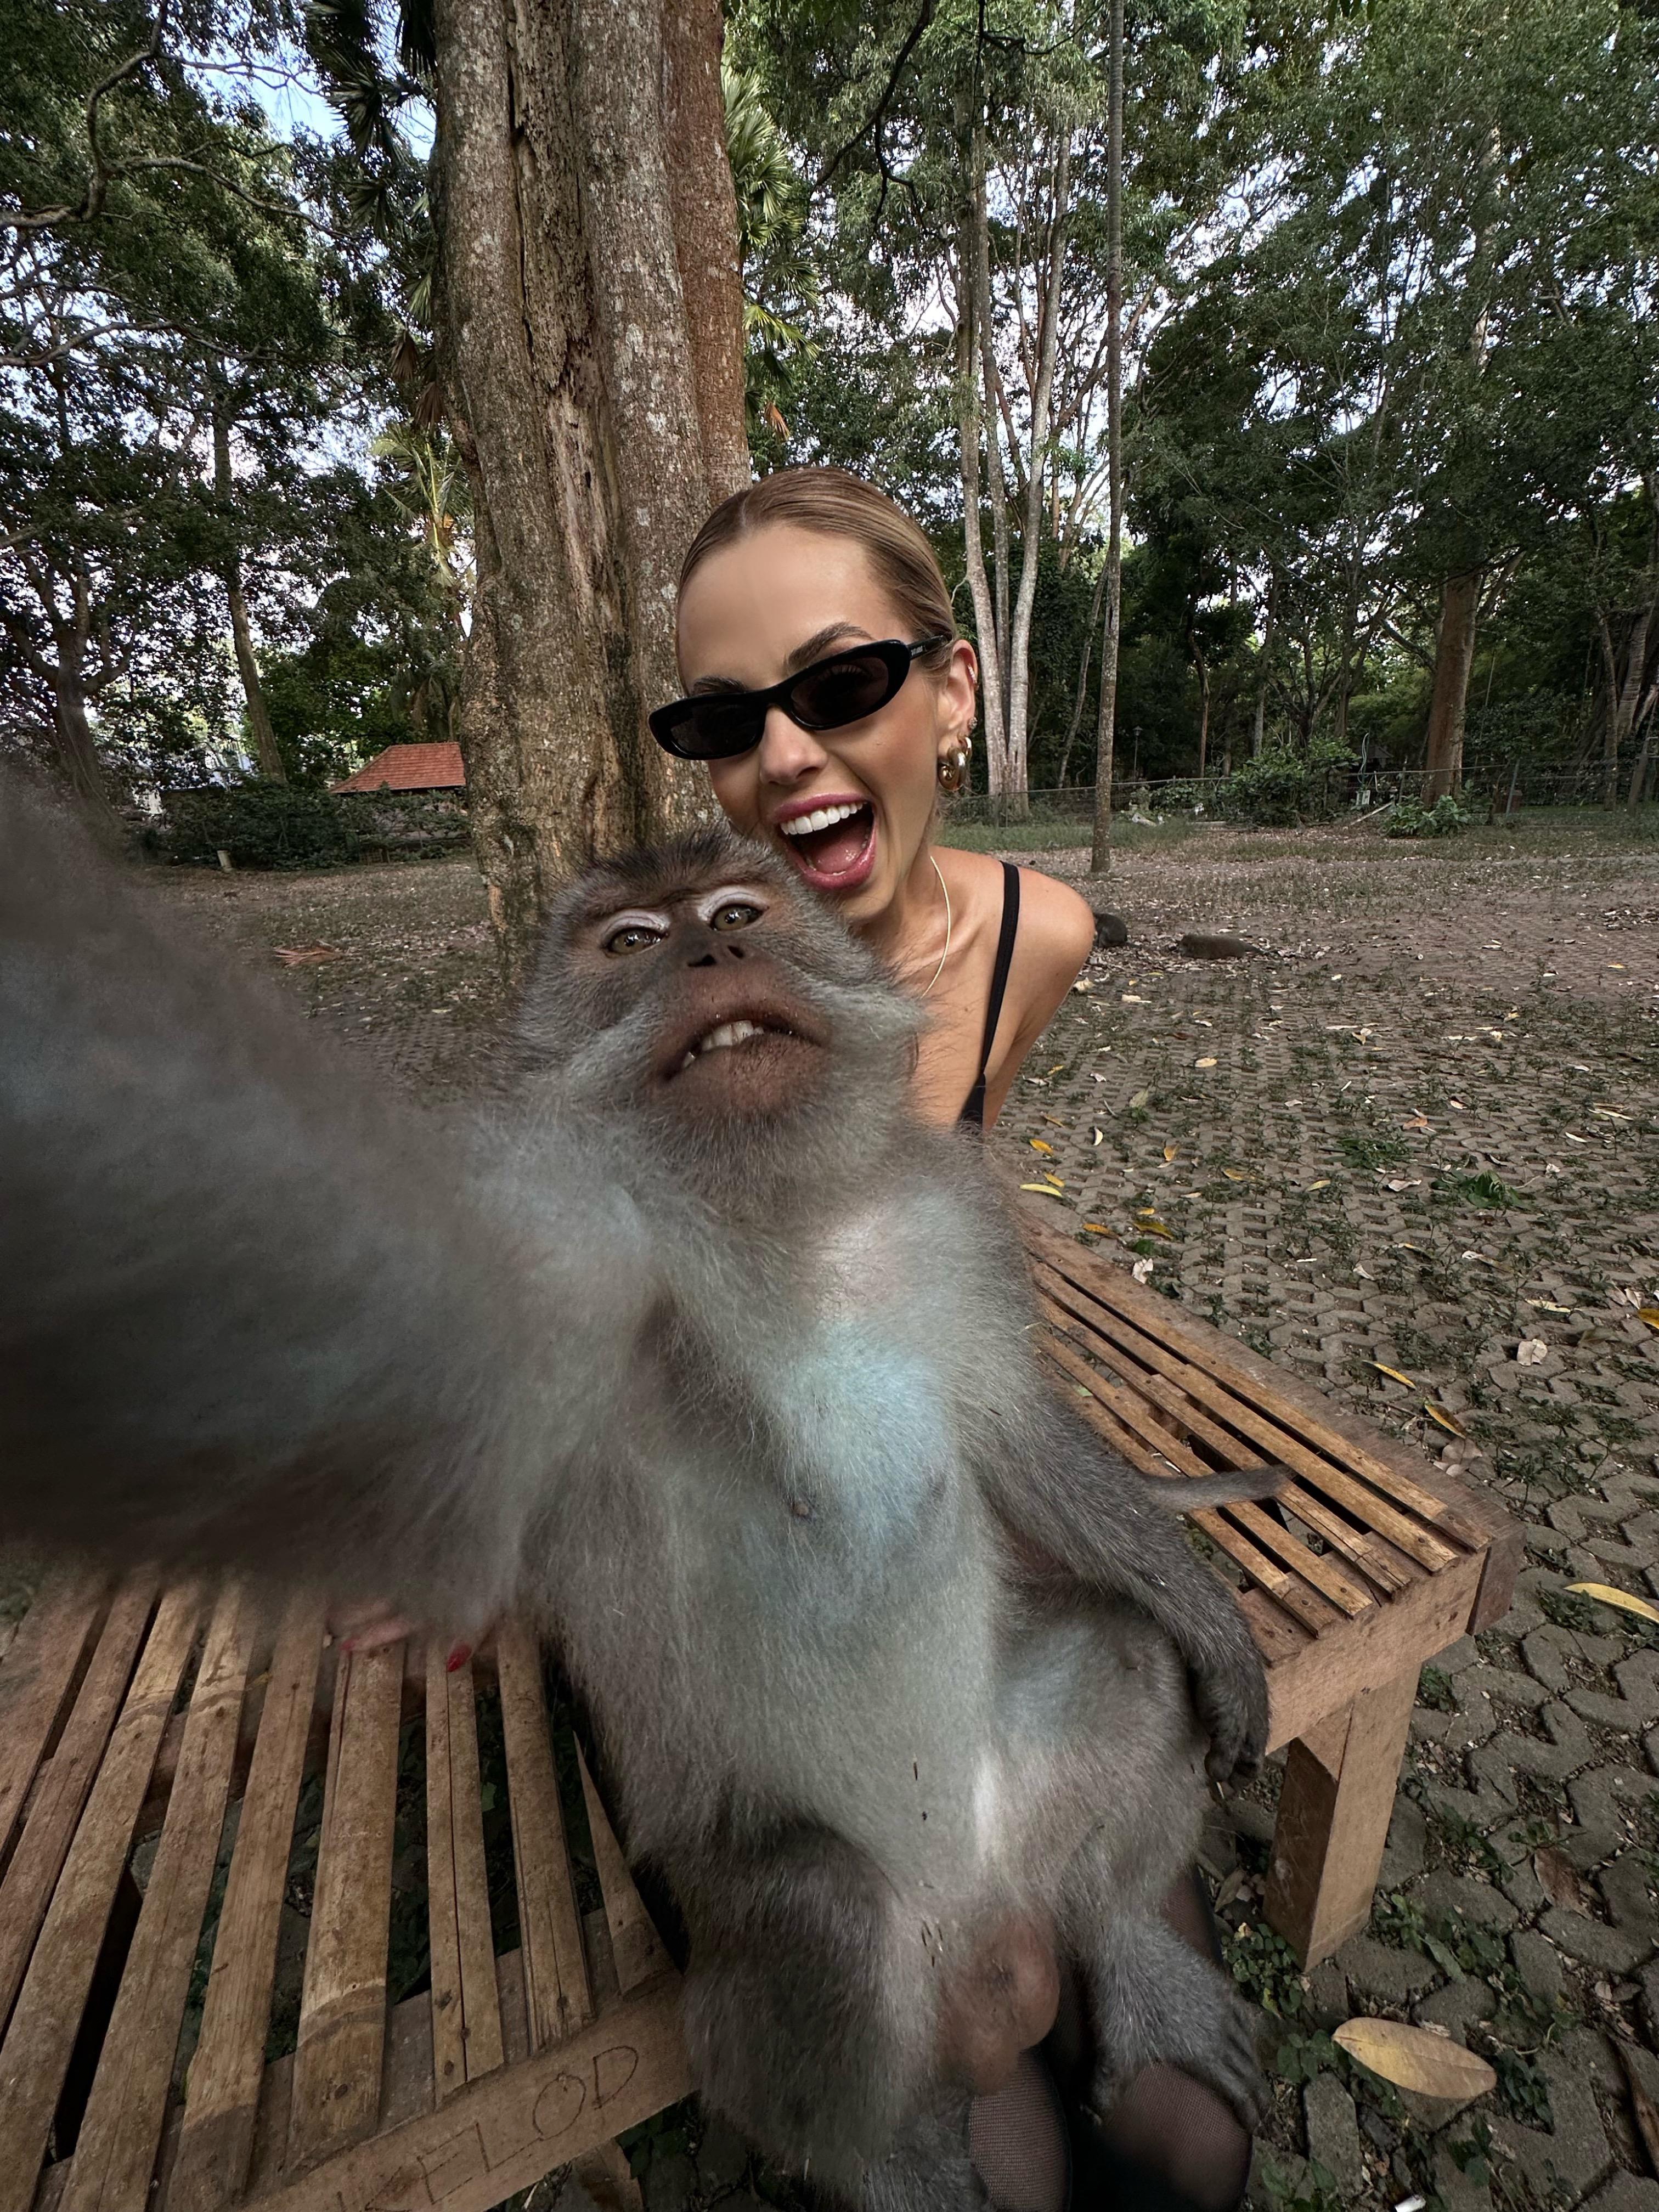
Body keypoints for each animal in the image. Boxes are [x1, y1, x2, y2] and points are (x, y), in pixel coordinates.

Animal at [0, 787, 1274, 2212]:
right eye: (631, 944)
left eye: (737, 913)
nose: (713, 956)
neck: (776, 1214)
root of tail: (981, 1924)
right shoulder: (561, 1231)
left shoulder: (952, 1229)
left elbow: (1026, 1449)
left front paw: (1210, 1621)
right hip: (767, 1918)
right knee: (820, 1915)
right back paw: (897, 2161)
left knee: (1122, 1662)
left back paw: (1130, 1949)